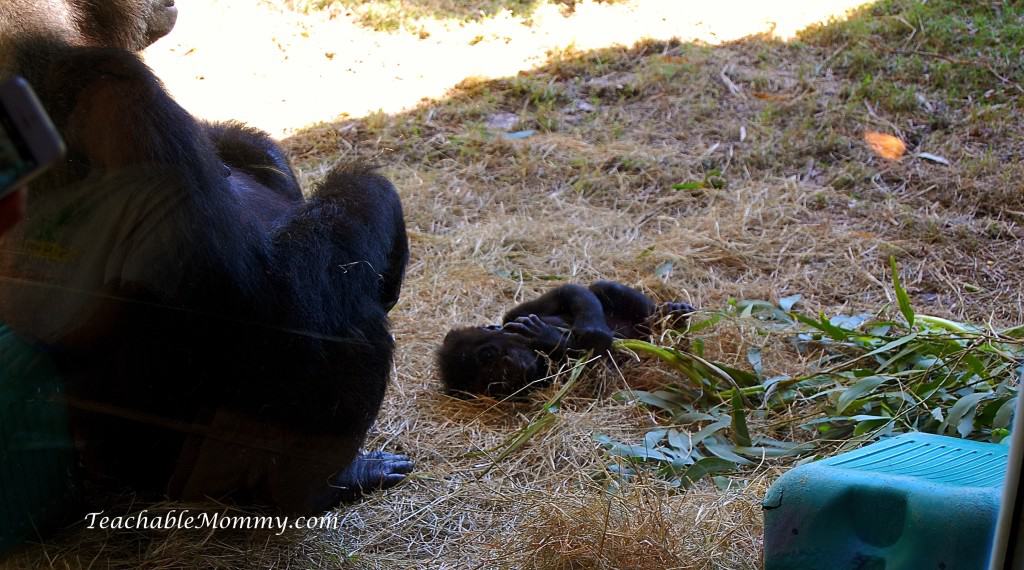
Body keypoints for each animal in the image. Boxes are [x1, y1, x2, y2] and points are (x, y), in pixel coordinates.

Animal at [440, 278, 696, 395]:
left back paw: (670, 315)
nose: (510, 368)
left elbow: (569, 292)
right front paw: (553, 339)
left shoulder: (514, 314)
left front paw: (591, 331)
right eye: (493, 383)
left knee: (605, 288)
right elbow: (596, 369)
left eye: (489, 355)